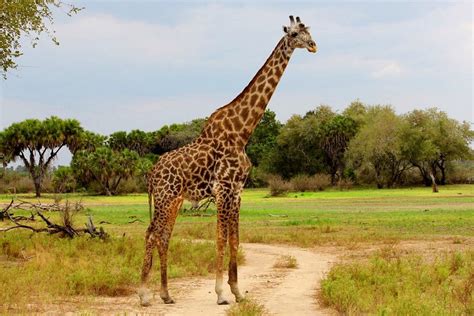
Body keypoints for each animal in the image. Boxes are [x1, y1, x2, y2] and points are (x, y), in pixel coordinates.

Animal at [139, 15, 316, 306]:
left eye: (308, 31)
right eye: (293, 34)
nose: (313, 45)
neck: (242, 132)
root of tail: (152, 173)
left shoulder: (237, 190)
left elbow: (235, 239)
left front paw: (237, 291)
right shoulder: (222, 188)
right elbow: (221, 238)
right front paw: (221, 293)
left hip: (174, 200)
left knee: (163, 236)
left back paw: (166, 294)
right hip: (165, 198)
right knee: (152, 234)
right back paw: (143, 295)